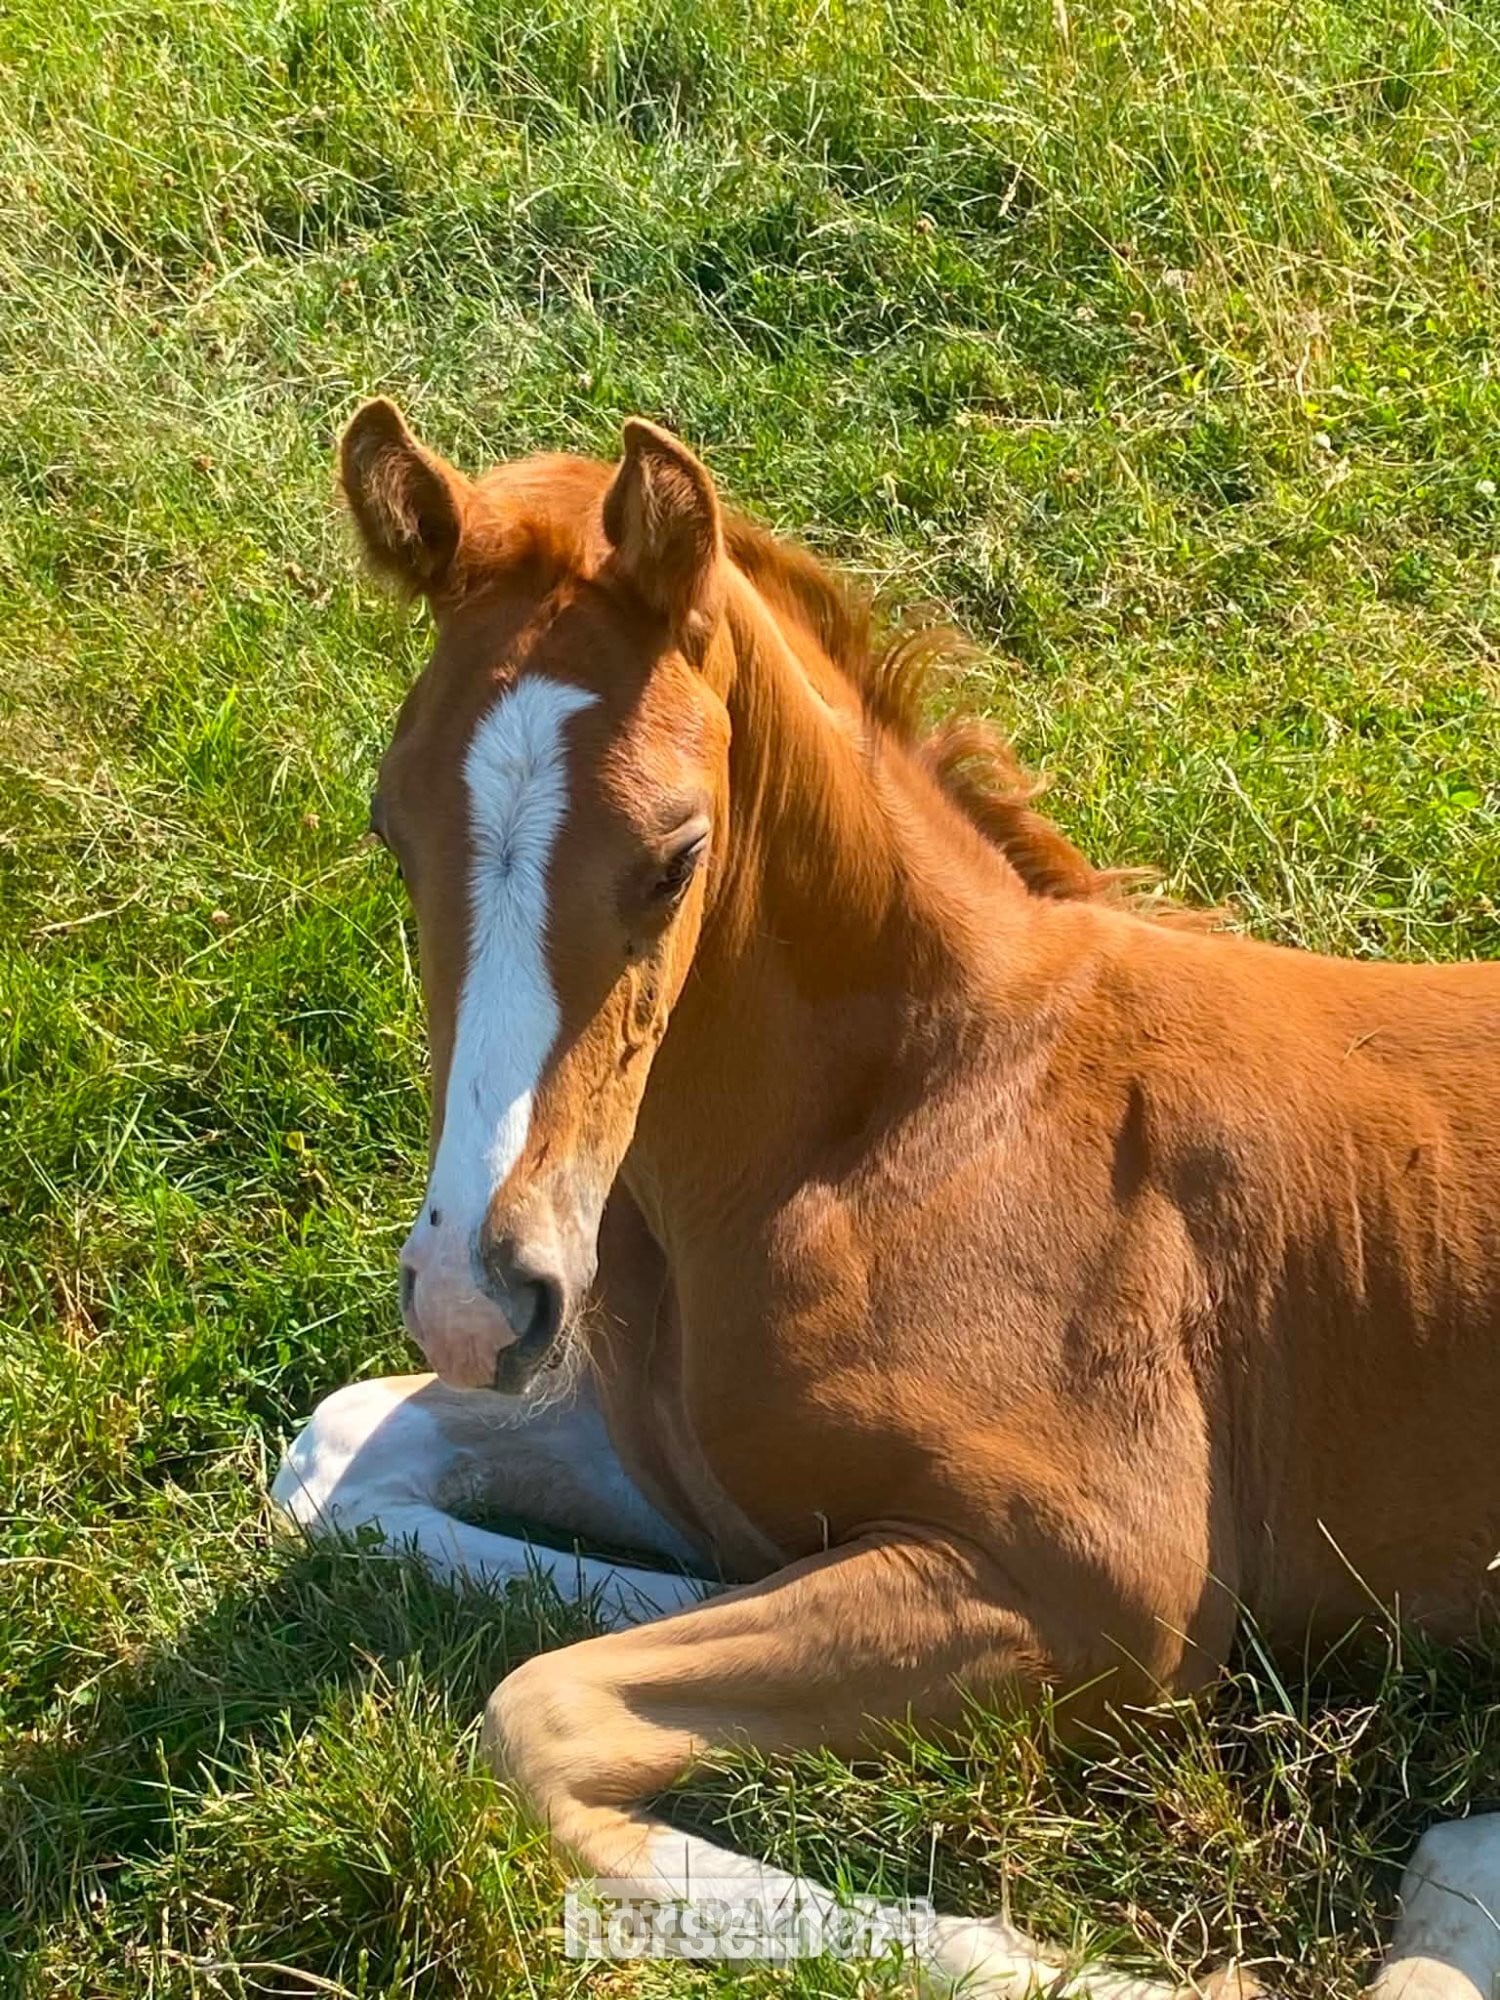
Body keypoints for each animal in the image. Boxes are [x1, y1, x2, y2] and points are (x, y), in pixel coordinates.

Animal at [273, 400, 1500, 1999]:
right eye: (388, 829)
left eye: (675, 858)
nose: (476, 1307)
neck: (918, 1113)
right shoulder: (673, 1445)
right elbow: (341, 1462)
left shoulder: (1113, 1589)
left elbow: (542, 1715)